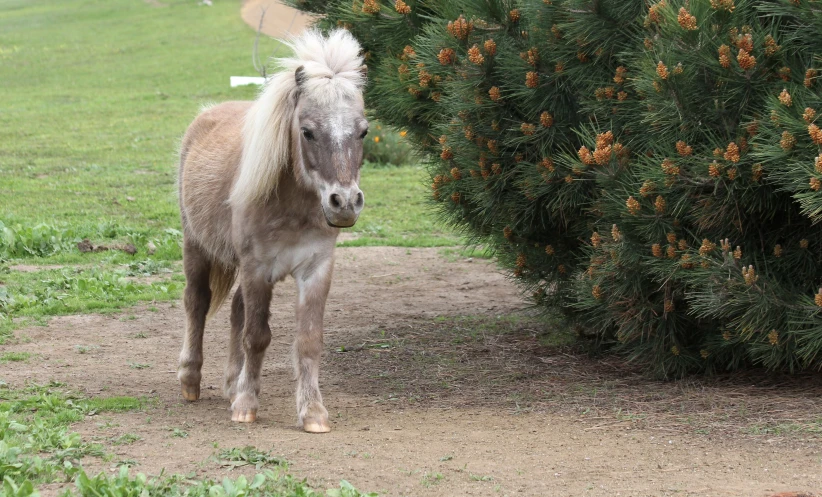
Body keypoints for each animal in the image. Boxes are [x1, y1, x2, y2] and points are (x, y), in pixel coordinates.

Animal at [176, 31, 366, 432]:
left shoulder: (316, 269)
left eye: (363, 131)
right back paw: (190, 381)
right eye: (307, 132)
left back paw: (232, 384)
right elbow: (257, 336)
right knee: (197, 303)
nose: (344, 203)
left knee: (235, 309)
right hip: (196, 247)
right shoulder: (257, 268)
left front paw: (312, 412)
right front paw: (247, 406)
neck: (292, 209)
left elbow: (308, 340)